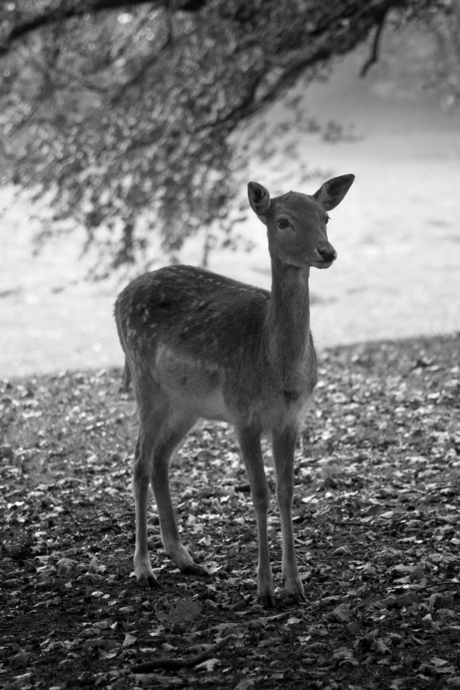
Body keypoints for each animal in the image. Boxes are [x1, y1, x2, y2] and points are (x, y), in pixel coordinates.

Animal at [115, 175, 356, 604]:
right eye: (282, 221)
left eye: (325, 217)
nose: (326, 251)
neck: (278, 371)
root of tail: (117, 300)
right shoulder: (243, 414)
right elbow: (259, 494)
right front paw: (264, 590)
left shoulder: (292, 417)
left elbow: (286, 492)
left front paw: (295, 586)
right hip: (146, 381)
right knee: (139, 461)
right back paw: (144, 569)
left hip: (186, 403)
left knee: (160, 458)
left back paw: (185, 558)